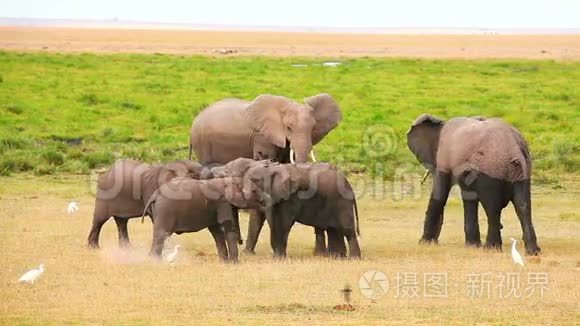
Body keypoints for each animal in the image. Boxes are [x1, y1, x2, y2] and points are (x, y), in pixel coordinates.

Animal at [213, 159, 360, 258]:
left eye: (255, 181)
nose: (240, 241)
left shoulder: (290, 197)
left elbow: (282, 222)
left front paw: (278, 258)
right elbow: (262, 219)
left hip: (342, 201)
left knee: (347, 230)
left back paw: (352, 258)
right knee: (333, 229)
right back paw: (335, 257)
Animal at [406, 114, 540, 255]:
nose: (435, 242)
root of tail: (515, 150)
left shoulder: (444, 158)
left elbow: (440, 196)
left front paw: (424, 243)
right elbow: (469, 198)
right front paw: (472, 246)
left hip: (491, 170)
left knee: (492, 208)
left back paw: (490, 248)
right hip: (522, 171)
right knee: (523, 205)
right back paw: (533, 252)